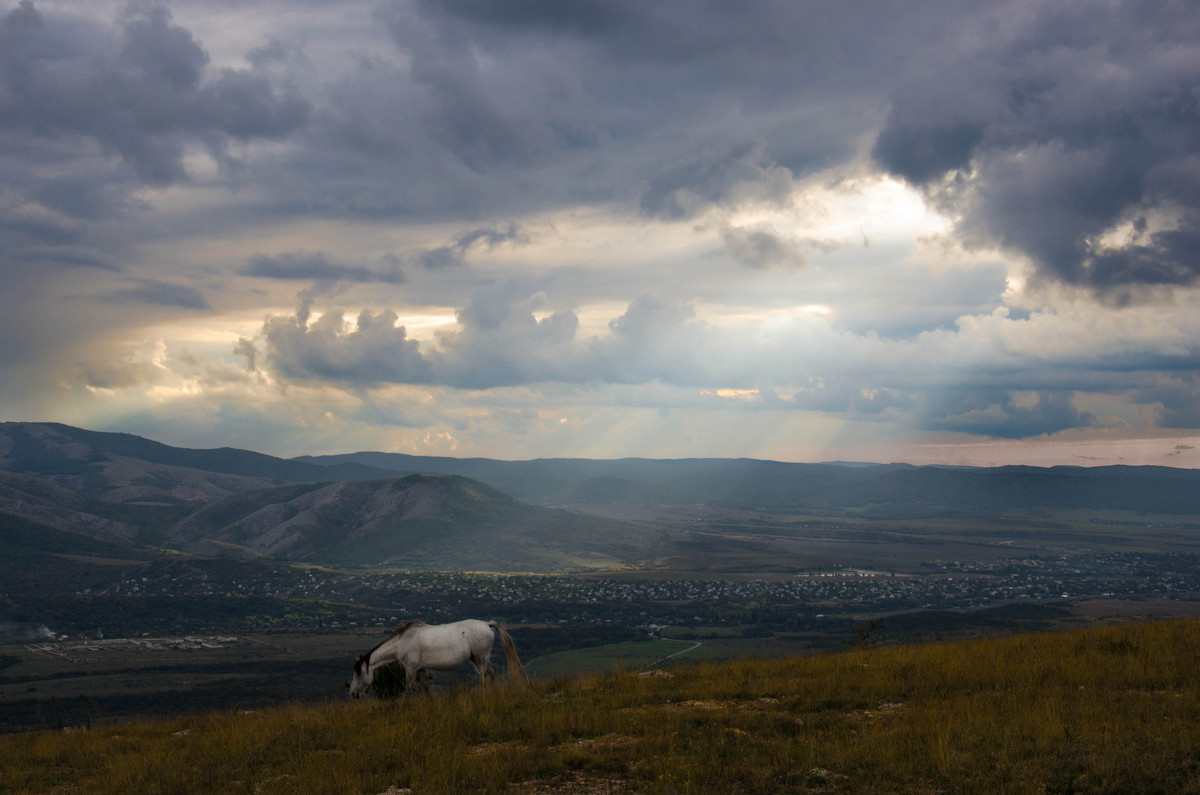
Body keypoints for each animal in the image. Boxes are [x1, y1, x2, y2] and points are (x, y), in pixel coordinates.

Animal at [345, 619, 518, 701]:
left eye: (358, 673)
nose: (352, 694)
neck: (402, 642)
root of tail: (488, 624)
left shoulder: (410, 670)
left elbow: (408, 692)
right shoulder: (421, 669)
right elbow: (427, 690)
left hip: (480, 659)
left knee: (483, 677)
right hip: (477, 658)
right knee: (492, 671)